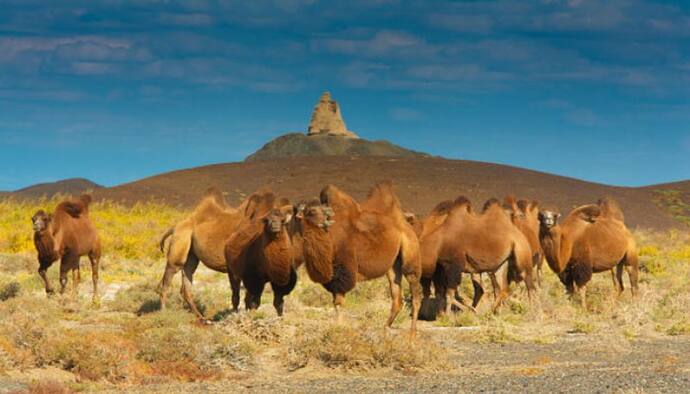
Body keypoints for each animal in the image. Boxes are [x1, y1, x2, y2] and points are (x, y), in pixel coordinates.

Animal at [158, 186, 274, 318]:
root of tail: (176, 226)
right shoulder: (233, 268)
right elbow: (236, 296)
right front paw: (235, 314)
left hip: (191, 255)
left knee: (186, 279)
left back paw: (200, 316)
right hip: (181, 240)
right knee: (170, 274)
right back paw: (163, 312)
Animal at [294, 183, 422, 338]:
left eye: (315, 210)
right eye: (309, 211)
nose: (326, 220)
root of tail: (405, 223)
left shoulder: (343, 272)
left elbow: (339, 303)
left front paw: (339, 328)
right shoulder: (332, 279)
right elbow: (335, 302)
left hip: (410, 257)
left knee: (415, 293)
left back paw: (412, 334)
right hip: (393, 266)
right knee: (397, 295)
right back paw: (385, 328)